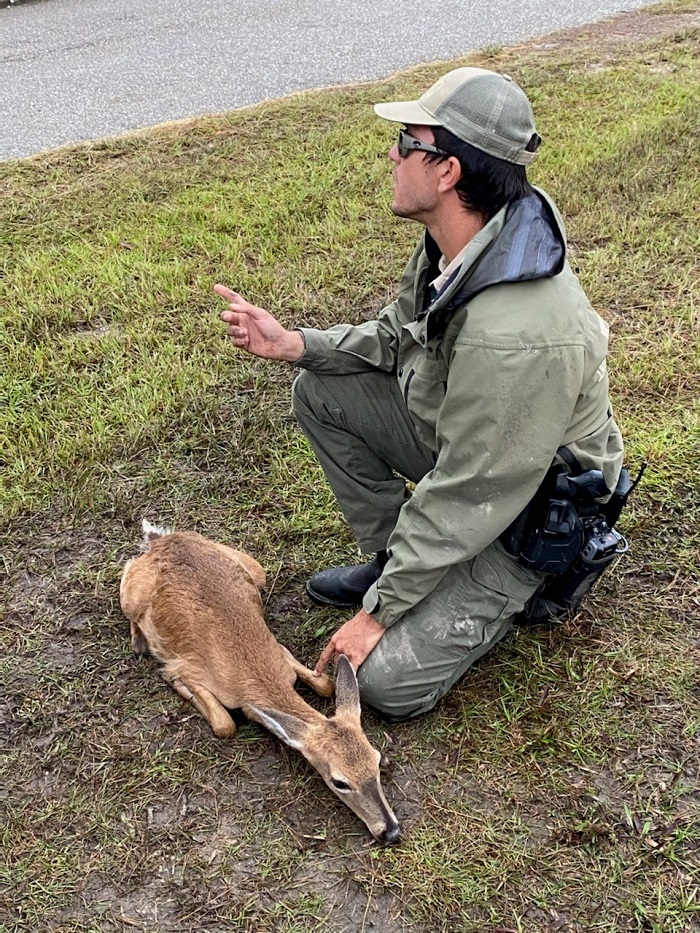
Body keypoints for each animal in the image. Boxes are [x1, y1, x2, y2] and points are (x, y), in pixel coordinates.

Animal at [119, 520, 401, 845]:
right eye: (339, 781)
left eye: (377, 760)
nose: (391, 831)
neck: (252, 676)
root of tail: (160, 540)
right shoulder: (190, 667)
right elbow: (224, 724)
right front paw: (173, 681)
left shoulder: (279, 654)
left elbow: (326, 683)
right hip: (131, 593)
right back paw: (138, 642)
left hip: (255, 569)